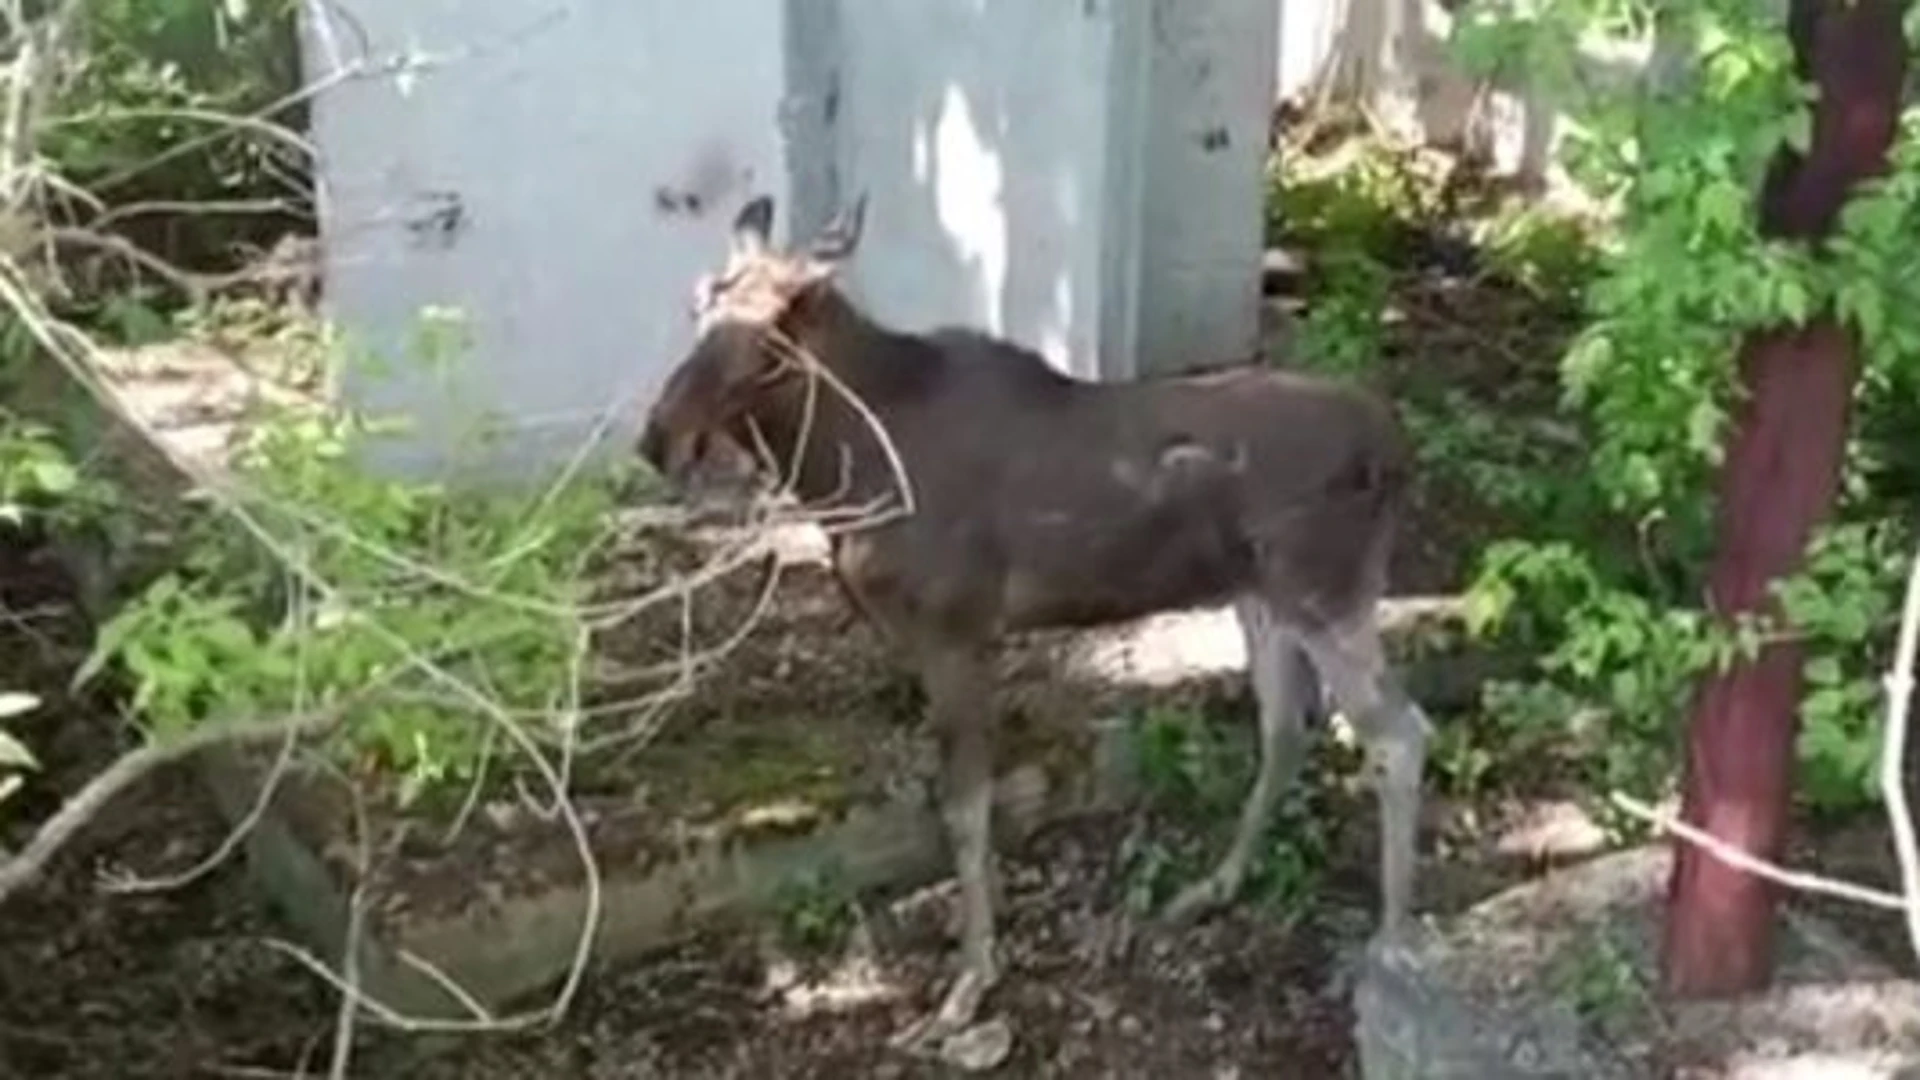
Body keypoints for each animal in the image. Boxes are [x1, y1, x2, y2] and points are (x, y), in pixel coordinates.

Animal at [637, 193, 1436, 1053]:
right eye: (698, 306)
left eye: (772, 334)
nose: (660, 437)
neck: (842, 476)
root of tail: (1399, 449)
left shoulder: (959, 628)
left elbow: (964, 810)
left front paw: (967, 985)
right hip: (1262, 596)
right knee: (1288, 725)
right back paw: (1214, 885)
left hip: (1327, 590)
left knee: (1399, 733)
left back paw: (1393, 943)